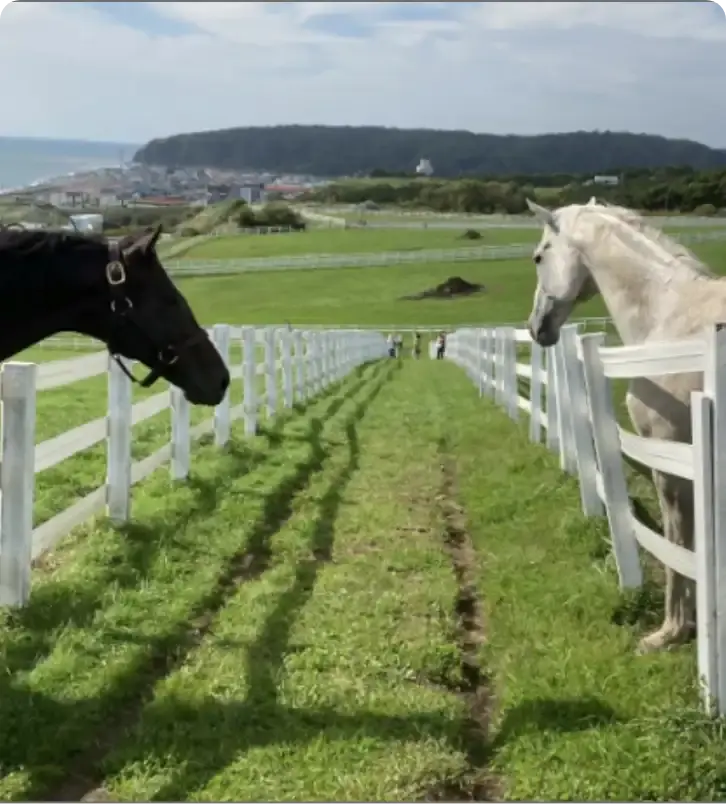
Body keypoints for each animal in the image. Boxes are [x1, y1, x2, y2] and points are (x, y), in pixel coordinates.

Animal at [524, 195, 724, 652]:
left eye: (540, 256)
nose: (536, 327)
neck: (672, 317)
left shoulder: (671, 461)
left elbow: (678, 544)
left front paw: (671, 630)